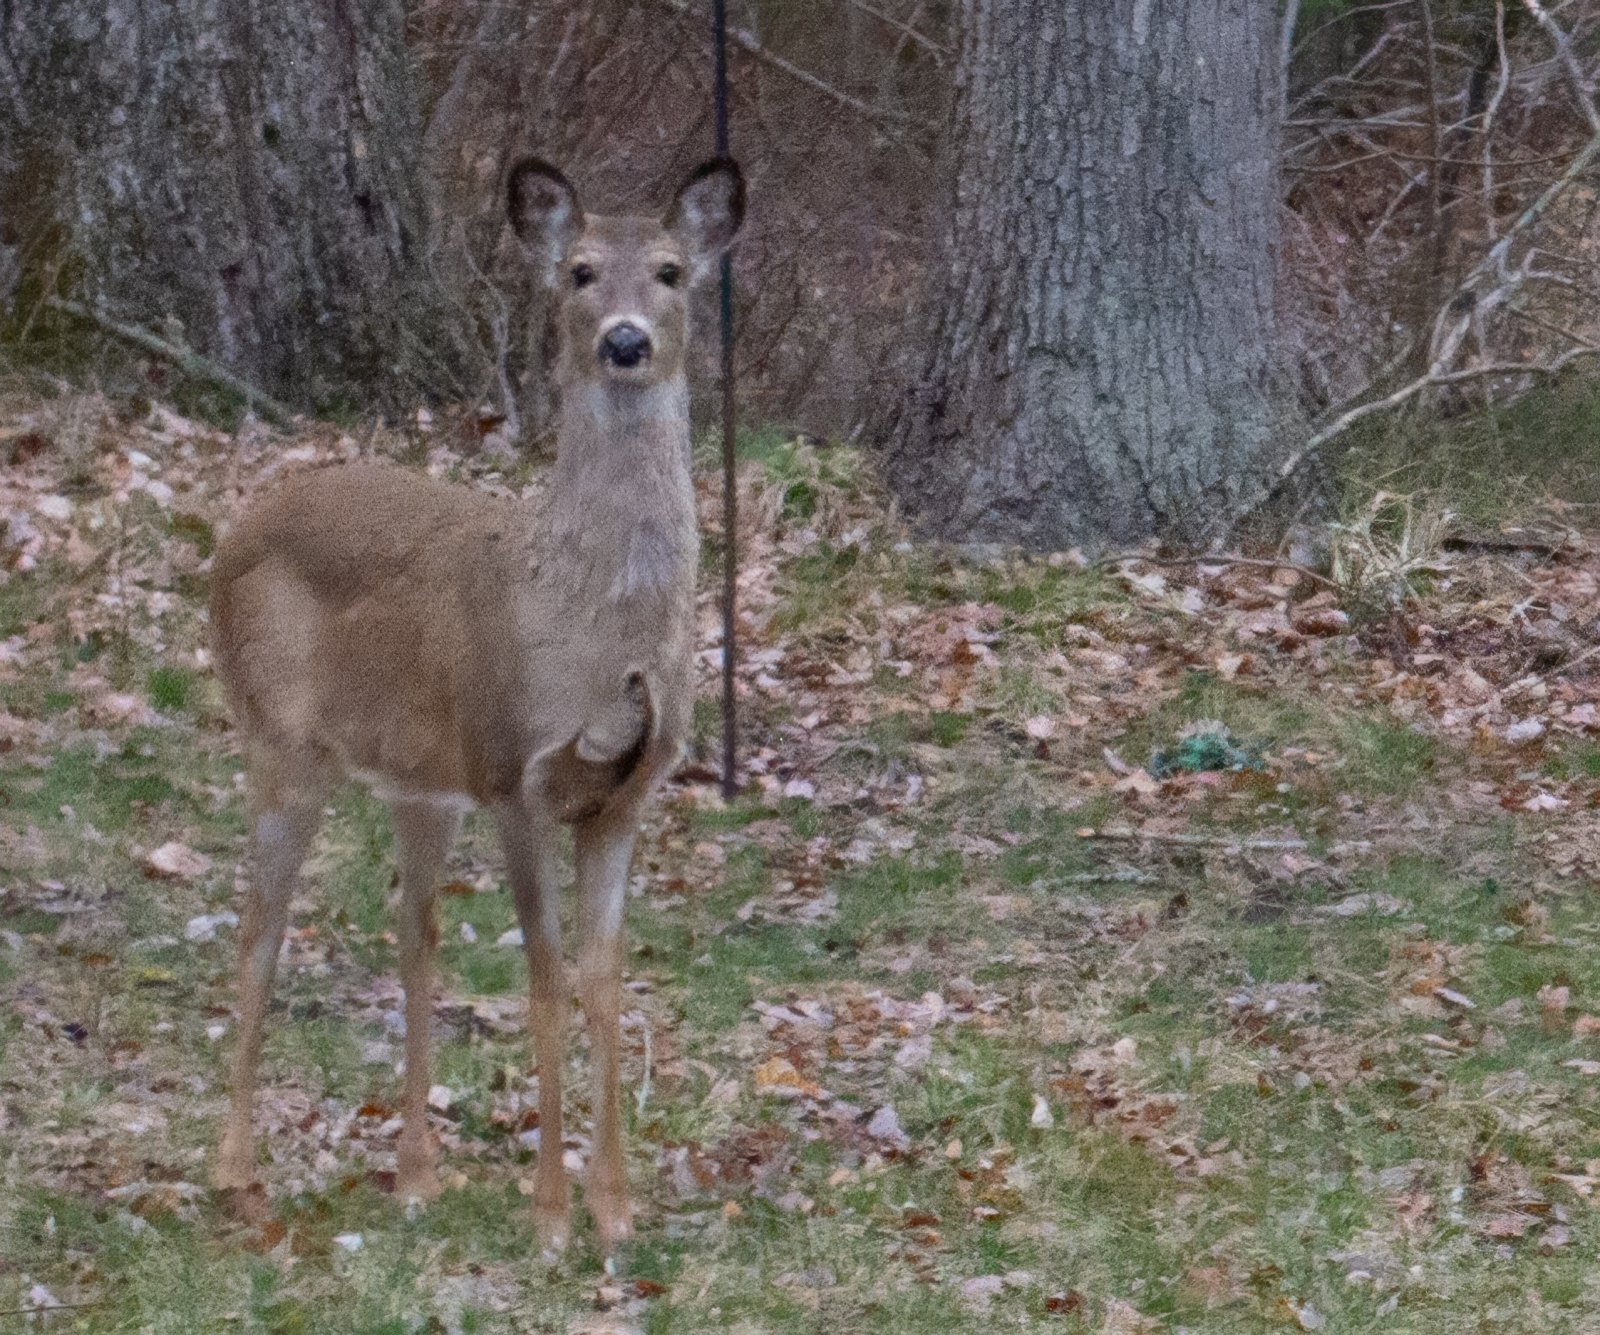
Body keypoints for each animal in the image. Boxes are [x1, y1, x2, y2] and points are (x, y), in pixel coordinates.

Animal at [204, 156, 742, 1248]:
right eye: (580, 271)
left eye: (671, 270)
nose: (625, 340)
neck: (585, 626)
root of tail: (232, 533)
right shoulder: (509, 774)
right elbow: (544, 980)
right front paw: (550, 1216)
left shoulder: (625, 799)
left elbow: (605, 979)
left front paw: (616, 1209)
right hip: (281, 742)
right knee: (257, 932)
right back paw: (236, 1176)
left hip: (417, 785)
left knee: (413, 938)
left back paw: (415, 1174)